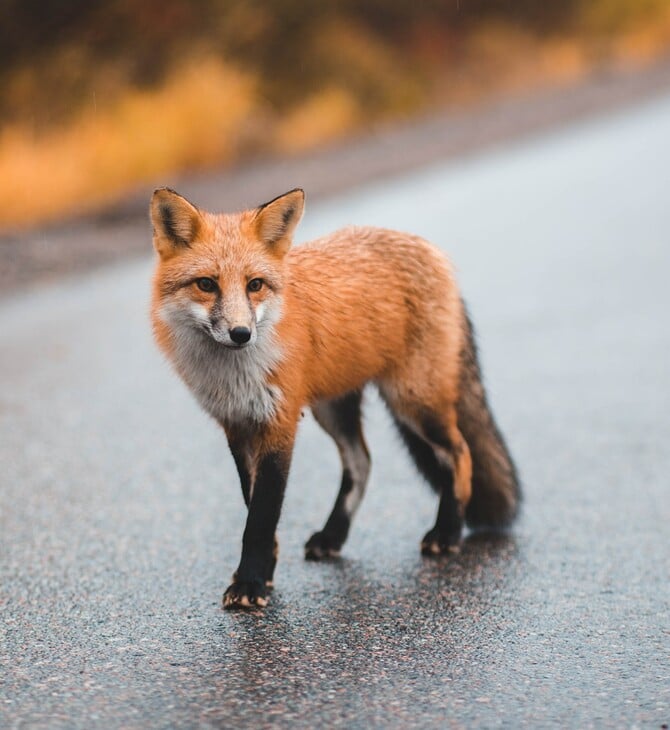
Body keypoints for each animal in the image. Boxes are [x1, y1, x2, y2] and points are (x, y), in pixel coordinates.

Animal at [150, 185, 524, 604]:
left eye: (255, 285)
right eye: (206, 284)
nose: (241, 334)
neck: (235, 374)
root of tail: (429, 248)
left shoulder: (279, 424)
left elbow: (261, 515)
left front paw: (250, 582)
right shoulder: (237, 425)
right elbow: (253, 508)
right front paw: (264, 572)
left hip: (413, 400)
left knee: (459, 453)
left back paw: (447, 531)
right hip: (333, 408)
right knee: (362, 462)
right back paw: (333, 536)